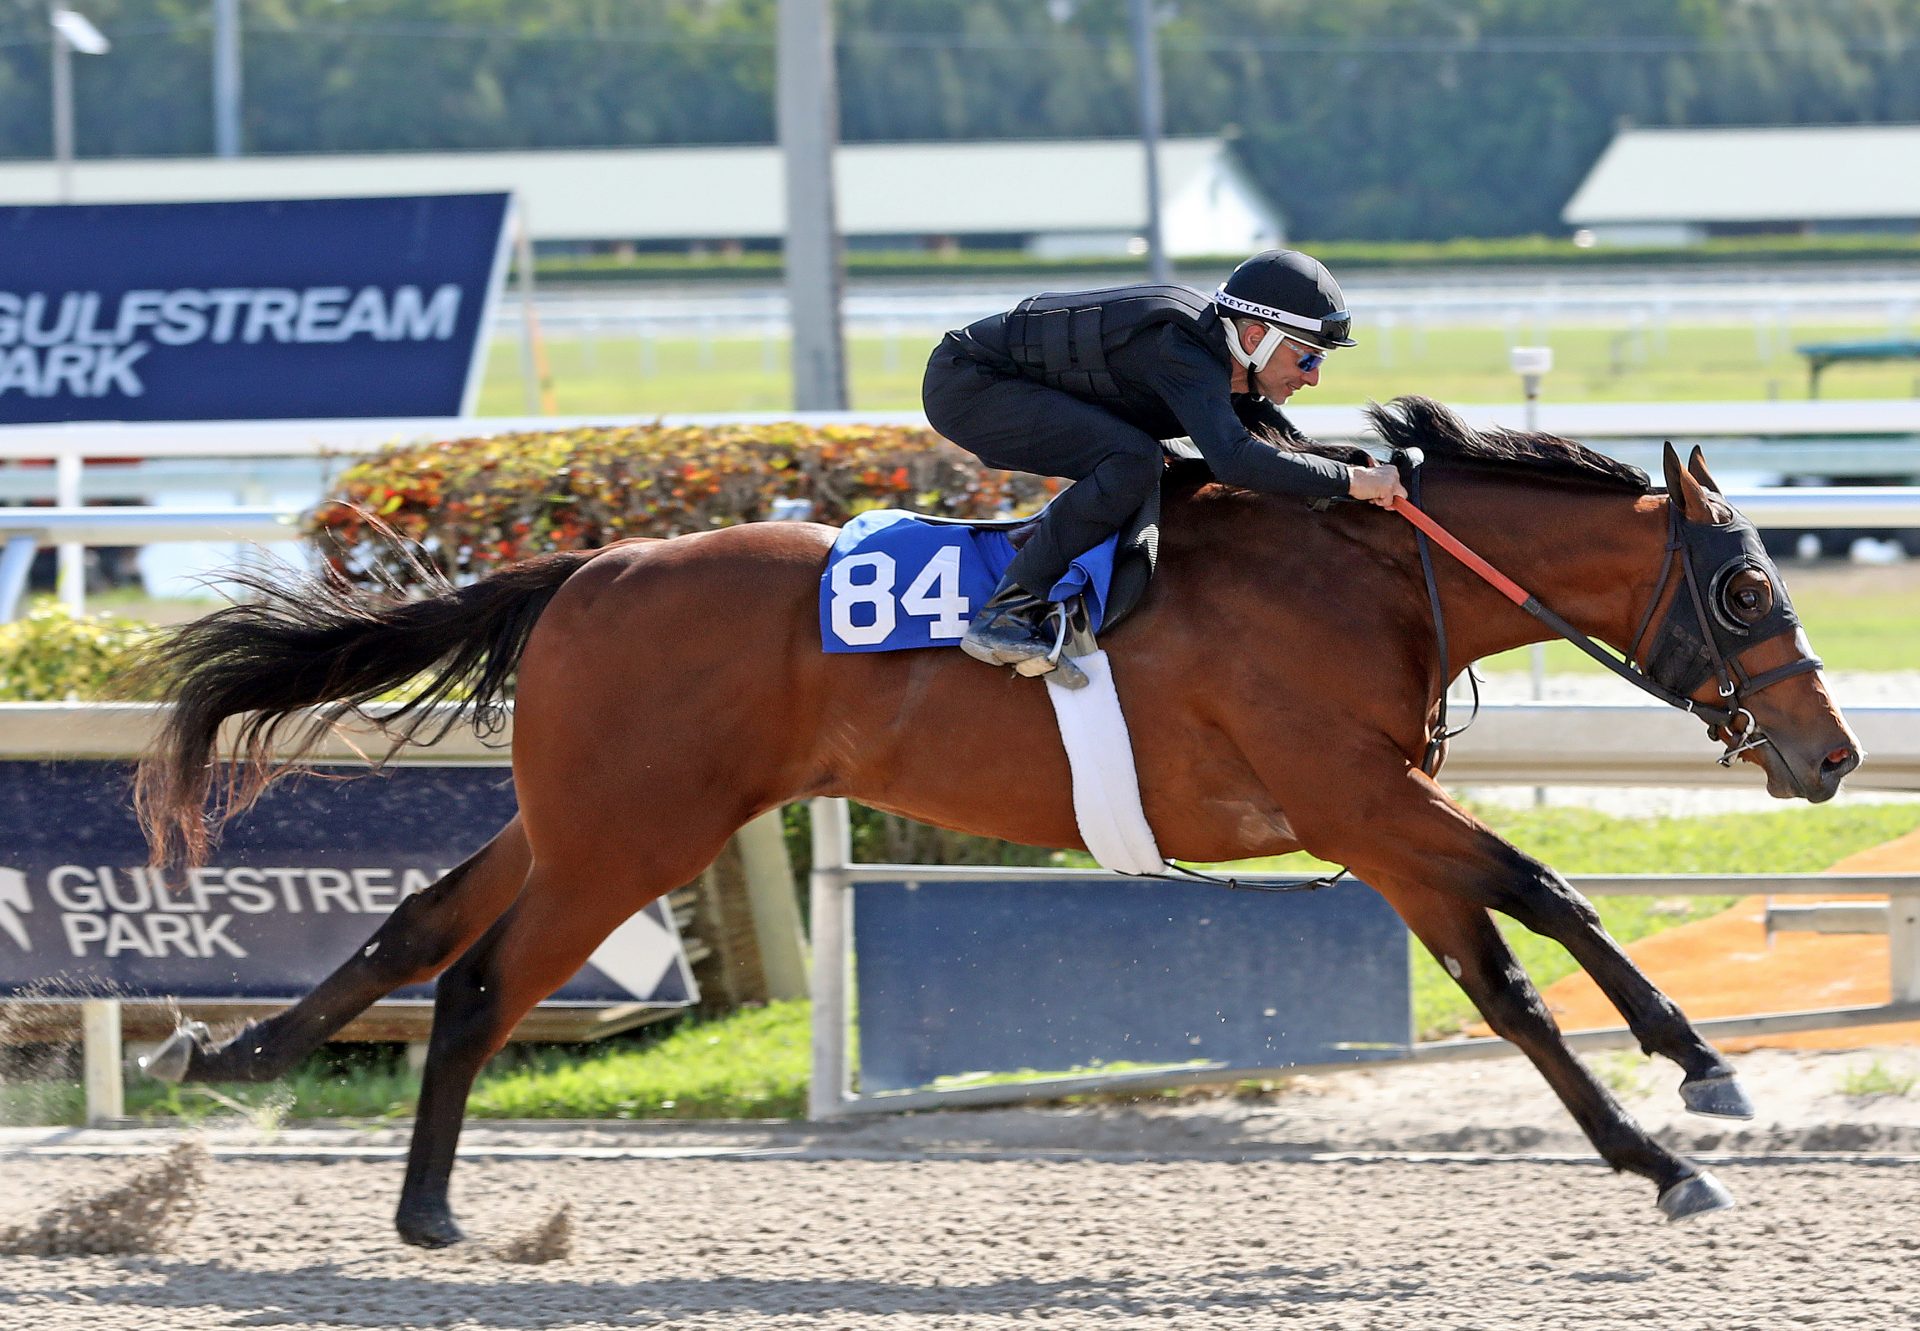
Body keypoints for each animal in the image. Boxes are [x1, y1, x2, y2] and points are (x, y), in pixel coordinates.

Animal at [131, 393, 1858, 1244]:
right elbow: (1552, 896)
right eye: (1746, 585)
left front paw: (1662, 1143)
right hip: (633, 836)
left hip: (585, 815)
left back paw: (233, 1054)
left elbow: (1509, 985)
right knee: (486, 978)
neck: (1368, 571)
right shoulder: (1362, 799)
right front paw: (1699, 1079)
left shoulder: (1379, 824)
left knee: (420, 922)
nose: (1834, 754)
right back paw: (425, 1207)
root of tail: (587, 566)